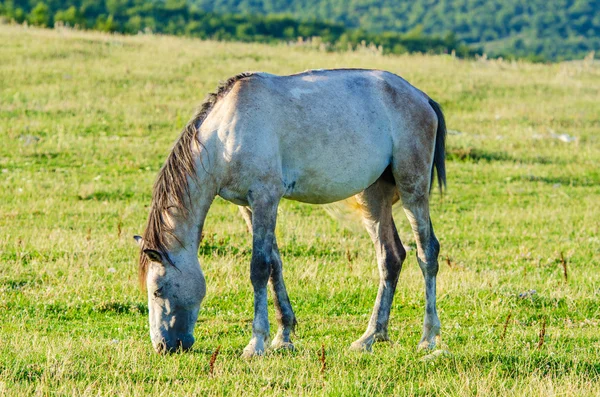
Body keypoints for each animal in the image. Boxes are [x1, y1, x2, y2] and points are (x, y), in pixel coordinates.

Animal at [136, 68, 446, 356]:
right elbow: (275, 265)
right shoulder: (248, 206)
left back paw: (428, 338)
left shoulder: (265, 198)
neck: (224, 135)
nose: (163, 346)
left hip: (413, 189)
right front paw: (283, 336)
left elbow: (259, 268)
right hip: (373, 196)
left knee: (427, 253)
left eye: (157, 290)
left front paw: (256, 343)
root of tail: (422, 98)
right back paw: (370, 337)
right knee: (390, 257)